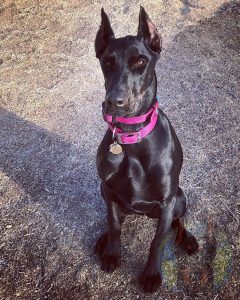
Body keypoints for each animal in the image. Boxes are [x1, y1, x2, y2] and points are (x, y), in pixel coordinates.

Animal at [94, 6, 199, 292]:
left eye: (141, 63)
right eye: (107, 62)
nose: (114, 102)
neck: (131, 138)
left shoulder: (166, 201)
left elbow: (158, 242)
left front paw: (151, 274)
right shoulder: (108, 188)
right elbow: (114, 223)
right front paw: (111, 252)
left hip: (180, 198)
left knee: (177, 221)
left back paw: (188, 240)